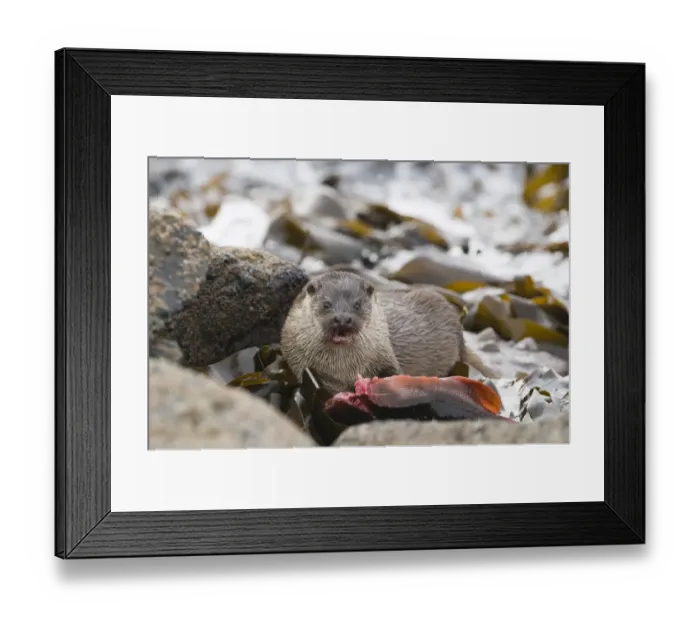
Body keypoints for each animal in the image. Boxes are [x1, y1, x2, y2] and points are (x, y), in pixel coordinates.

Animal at [280, 270, 499, 396]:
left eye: (357, 305)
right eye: (327, 304)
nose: (342, 319)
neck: (342, 369)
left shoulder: (384, 354)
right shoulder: (299, 362)